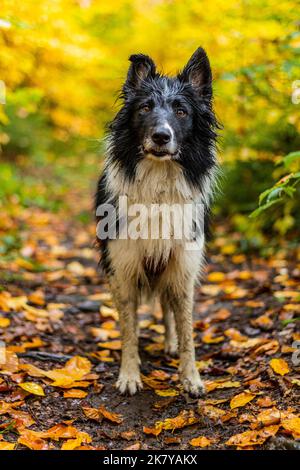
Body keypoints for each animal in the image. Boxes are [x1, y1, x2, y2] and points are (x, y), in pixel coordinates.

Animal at [95, 46, 219, 396]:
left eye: (181, 111)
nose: (161, 136)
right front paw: (129, 374)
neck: (159, 184)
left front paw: (191, 378)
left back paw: (170, 344)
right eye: (145, 108)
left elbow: (187, 329)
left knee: (168, 308)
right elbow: (128, 329)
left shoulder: (183, 267)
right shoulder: (122, 267)